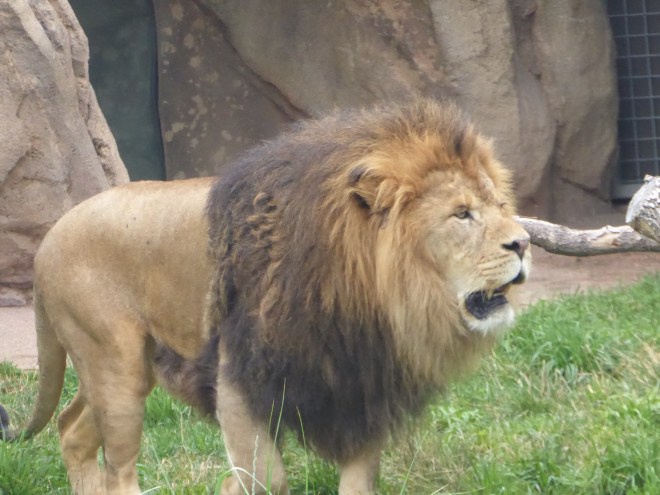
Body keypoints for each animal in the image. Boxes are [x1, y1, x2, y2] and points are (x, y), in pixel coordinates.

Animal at [1, 99, 531, 494]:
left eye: (501, 205)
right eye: (462, 214)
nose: (524, 242)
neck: (370, 300)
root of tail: (50, 238)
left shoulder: (358, 389)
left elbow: (355, 483)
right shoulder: (238, 377)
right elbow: (265, 478)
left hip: (119, 370)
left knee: (71, 432)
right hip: (116, 366)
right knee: (118, 468)